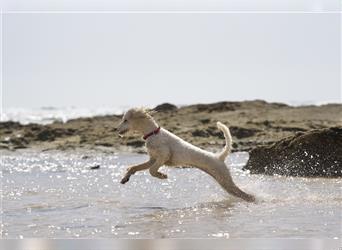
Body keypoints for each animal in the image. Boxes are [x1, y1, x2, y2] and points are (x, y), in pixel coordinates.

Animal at [116, 108, 255, 202]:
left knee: (245, 195)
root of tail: (219, 157)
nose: (117, 130)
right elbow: (134, 167)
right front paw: (125, 178)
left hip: (225, 179)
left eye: (125, 120)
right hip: (223, 181)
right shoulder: (152, 159)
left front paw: (162, 176)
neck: (153, 133)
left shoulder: (163, 156)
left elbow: (152, 171)